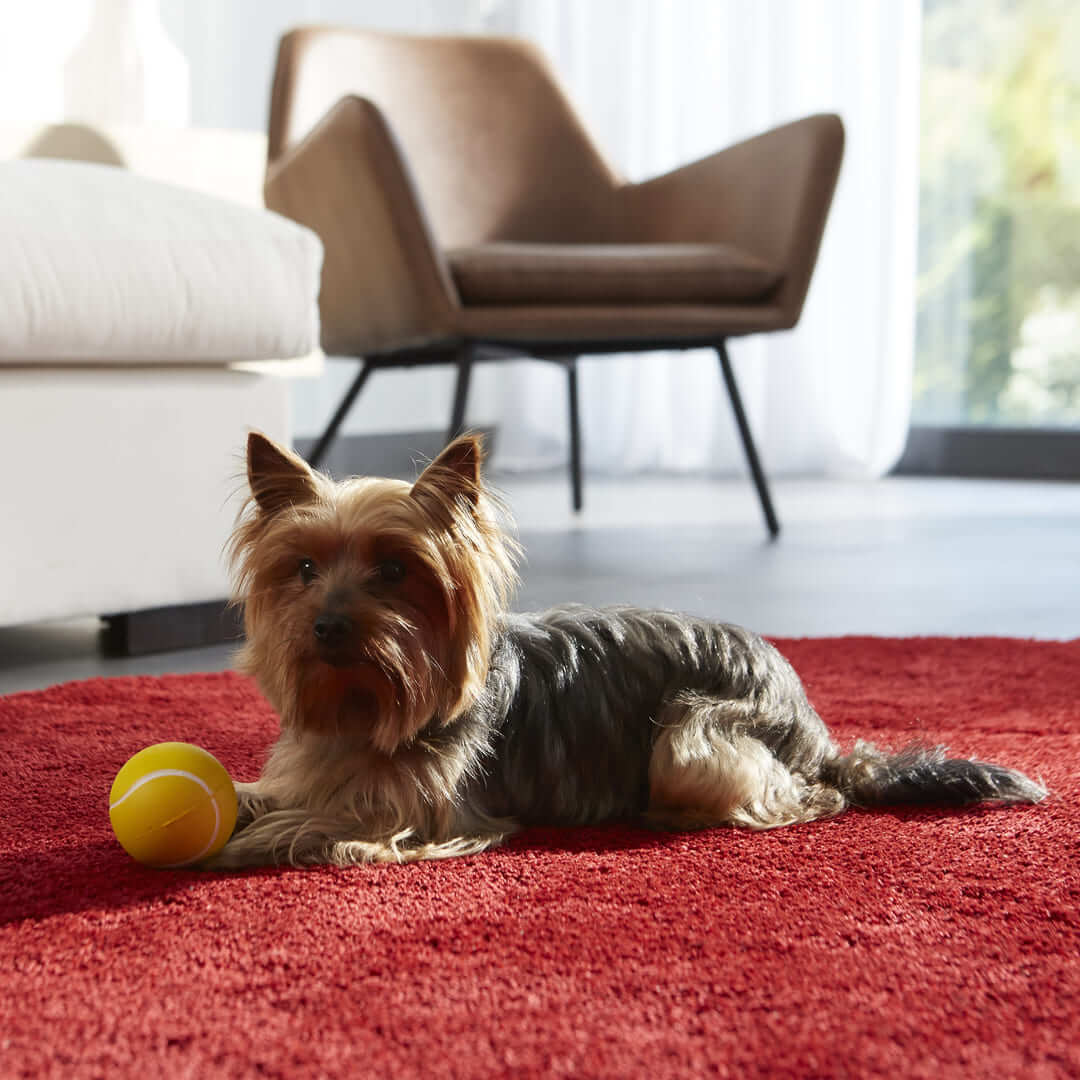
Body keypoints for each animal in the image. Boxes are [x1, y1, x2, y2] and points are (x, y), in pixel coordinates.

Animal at [204, 432, 1045, 868]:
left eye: (394, 570)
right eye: (303, 569)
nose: (327, 626)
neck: (369, 702)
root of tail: (814, 727)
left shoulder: (434, 814)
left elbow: (329, 825)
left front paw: (249, 841)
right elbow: (271, 795)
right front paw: (244, 810)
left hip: (692, 738)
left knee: (808, 797)